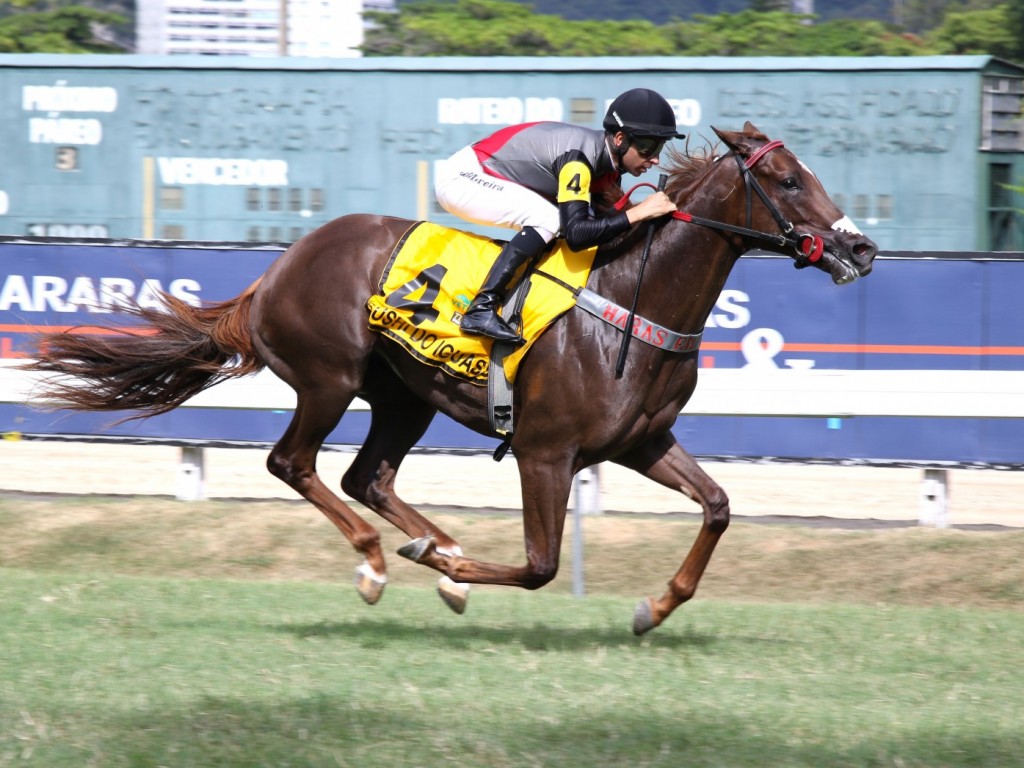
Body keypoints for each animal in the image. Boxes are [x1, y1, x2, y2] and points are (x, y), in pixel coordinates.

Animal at [28, 123, 876, 634]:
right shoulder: (544, 452)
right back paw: (382, 560)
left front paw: (653, 607)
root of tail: (277, 271)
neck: (634, 301)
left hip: (404, 396)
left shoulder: (641, 443)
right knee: (294, 464)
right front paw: (452, 567)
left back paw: (428, 550)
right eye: (789, 180)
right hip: (329, 377)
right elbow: (539, 566)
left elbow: (719, 507)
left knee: (367, 477)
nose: (860, 249)